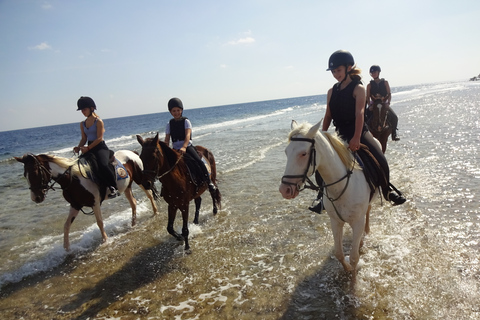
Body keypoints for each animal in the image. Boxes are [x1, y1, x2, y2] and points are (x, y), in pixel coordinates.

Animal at [278, 120, 376, 276]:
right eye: (286, 152)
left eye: (303, 153)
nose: (284, 190)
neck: (342, 186)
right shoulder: (335, 222)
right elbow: (339, 254)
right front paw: (347, 270)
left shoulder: (357, 222)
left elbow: (354, 257)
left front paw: (353, 277)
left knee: (368, 210)